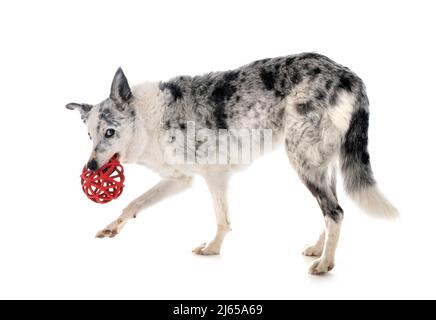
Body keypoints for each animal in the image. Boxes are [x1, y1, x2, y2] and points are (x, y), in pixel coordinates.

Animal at [66, 53, 396, 276]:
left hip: (303, 161)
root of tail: (348, 75)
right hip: (320, 164)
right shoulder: (180, 179)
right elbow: (134, 204)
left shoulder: (214, 175)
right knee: (332, 210)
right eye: (89, 135)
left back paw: (326, 263)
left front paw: (212, 248)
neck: (148, 120)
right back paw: (319, 249)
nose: (91, 168)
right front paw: (112, 227)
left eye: (110, 132)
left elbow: (221, 219)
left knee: (334, 211)